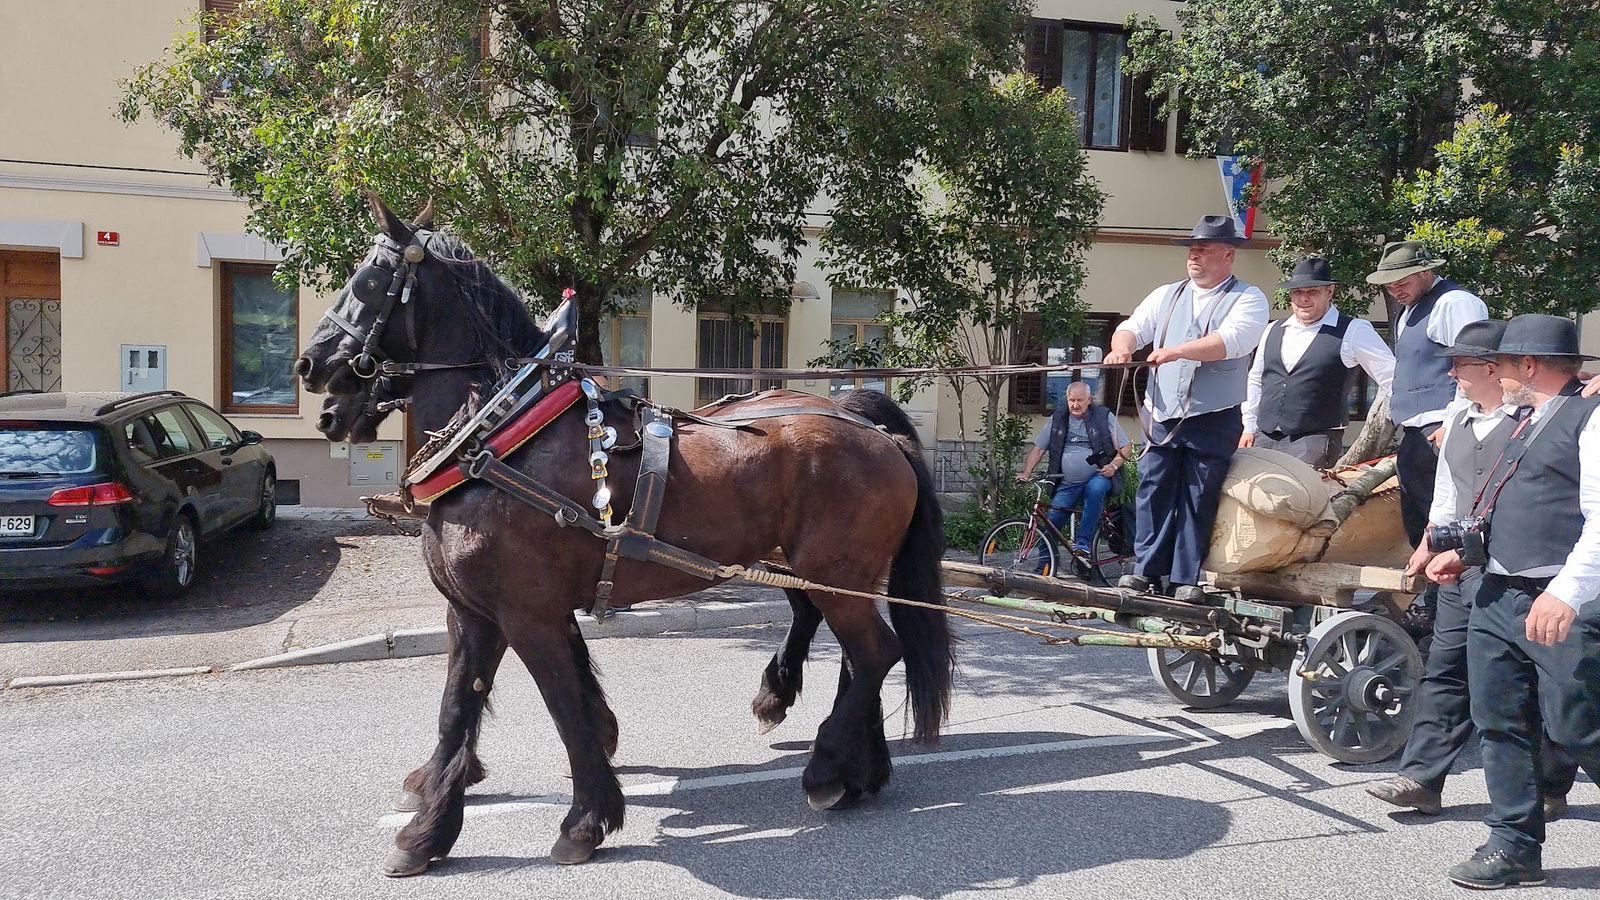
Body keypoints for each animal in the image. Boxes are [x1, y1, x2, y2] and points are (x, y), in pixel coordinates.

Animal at [296, 197, 953, 871]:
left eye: (368, 281)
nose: (313, 369)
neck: (499, 437)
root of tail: (874, 429)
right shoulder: (473, 612)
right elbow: (460, 707)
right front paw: (429, 827)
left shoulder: (525, 612)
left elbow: (562, 705)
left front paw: (585, 818)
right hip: (832, 574)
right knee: (851, 648)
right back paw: (858, 768)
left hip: (833, 573)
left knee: (874, 652)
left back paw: (826, 766)